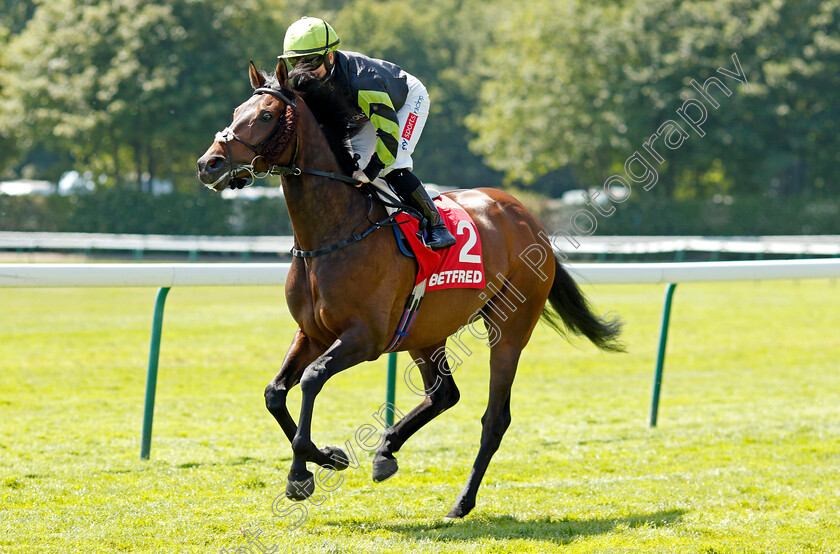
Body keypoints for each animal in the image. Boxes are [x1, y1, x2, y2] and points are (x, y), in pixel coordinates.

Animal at [194, 61, 620, 516]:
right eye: (237, 110)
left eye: (267, 115)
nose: (209, 164)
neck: (333, 232)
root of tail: (525, 216)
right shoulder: (312, 333)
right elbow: (274, 393)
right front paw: (327, 457)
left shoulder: (365, 338)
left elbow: (311, 378)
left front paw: (300, 474)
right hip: (424, 330)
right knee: (444, 395)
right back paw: (386, 451)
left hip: (509, 329)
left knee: (495, 417)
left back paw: (462, 501)